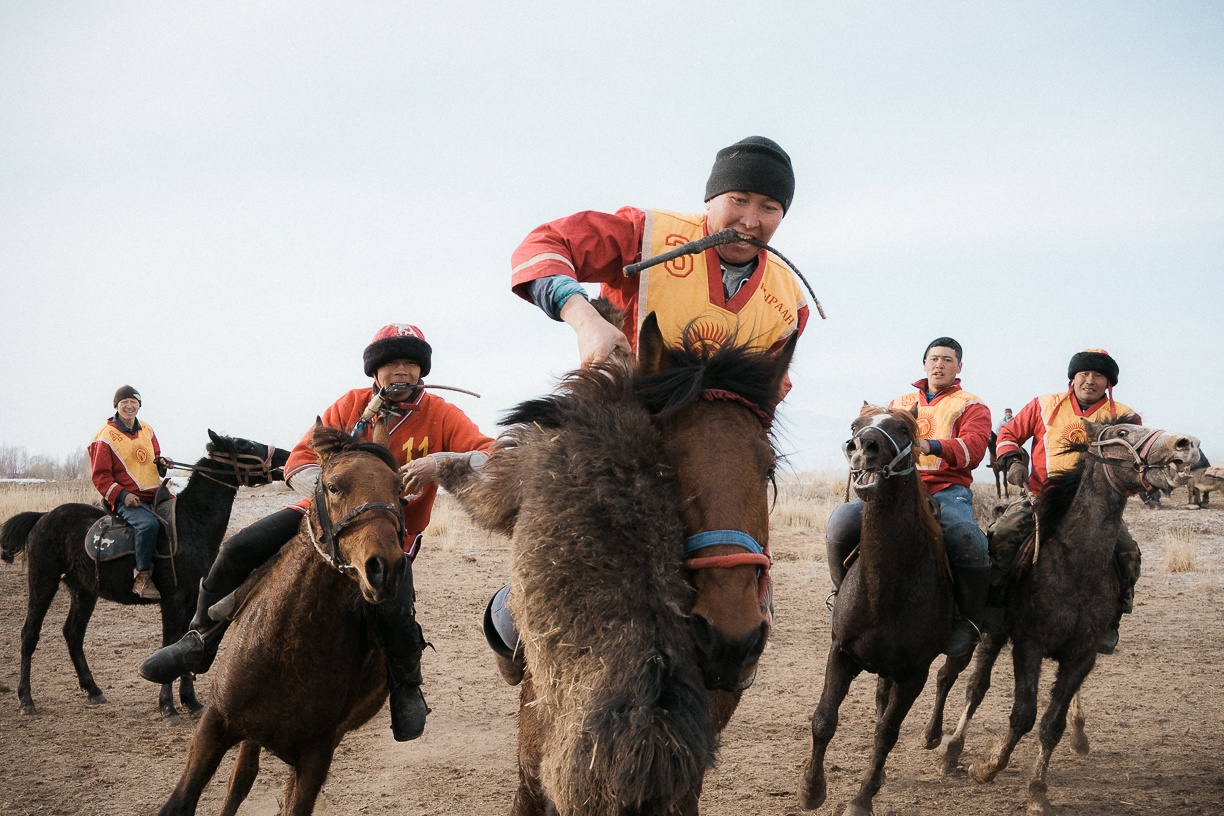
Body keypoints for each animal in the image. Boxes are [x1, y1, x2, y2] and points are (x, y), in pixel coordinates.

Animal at [0, 430, 287, 724]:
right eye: (247, 445)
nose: (285, 455)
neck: (190, 523)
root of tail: (43, 517)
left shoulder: (192, 599)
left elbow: (187, 639)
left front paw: (191, 701)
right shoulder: (172, 600)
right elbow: (170, 641)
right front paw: (168, 707)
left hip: (84, 591)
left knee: (73, 634)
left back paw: (93, 689)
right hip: (43, 582)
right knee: (29, 634)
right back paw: (26, 698)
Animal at [155, 428, 406, 816]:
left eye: (399, 488)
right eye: (333, 486)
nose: (384, 568)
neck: (286, 649)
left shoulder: (316, 756)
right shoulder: (214, 725)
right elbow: (181, 803)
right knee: (239, 781)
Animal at [802, 403, 954, 816]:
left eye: (902, 429)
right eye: (856, 425)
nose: (861, 447)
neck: (884, 588)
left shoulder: (914, 673)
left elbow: (887, 732)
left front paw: (861, 799)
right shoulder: (841, 653)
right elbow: (824, 720)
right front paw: (811, 788)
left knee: (948, 679)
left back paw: (936, 739)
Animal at [920, 420, 1194, 816]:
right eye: (1123, 432)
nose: (1185, 445)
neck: (1075, 563)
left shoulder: (1082, 654)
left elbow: (1052, 723)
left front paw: (1037, 790)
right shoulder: (1029, 645)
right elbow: (1023, 714)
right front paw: (986, 767)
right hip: (989, 634)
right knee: (965, 682)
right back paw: (945, 746)